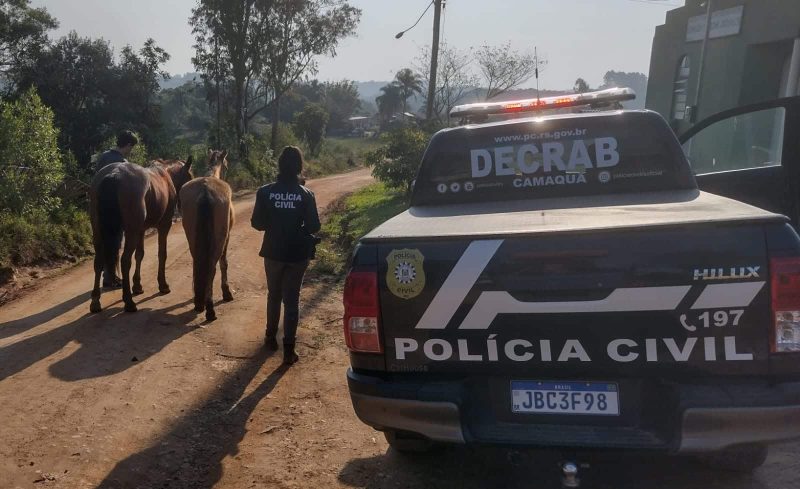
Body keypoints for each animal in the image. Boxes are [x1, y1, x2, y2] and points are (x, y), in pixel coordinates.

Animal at [89, 159, 194, 312]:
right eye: (190, 178)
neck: (165, 174)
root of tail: (115, 173)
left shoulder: (141, 230)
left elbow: (140, 254)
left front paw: (137, 285)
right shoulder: (164, 225)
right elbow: (162, 254)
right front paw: (163, 285)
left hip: (98, 231)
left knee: (98, 262)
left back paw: (96, 301)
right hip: (130, 232)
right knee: (125, 261)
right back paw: (128, 301)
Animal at [180, 151, 233, 322]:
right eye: (226, 164)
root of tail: (205, 189)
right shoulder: (227, 237)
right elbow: (224, 263)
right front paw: (226, 292)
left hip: (192, 238)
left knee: (198, 264)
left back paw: (199, 302)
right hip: (218, 241)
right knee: (211, 268)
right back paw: (210, 309)